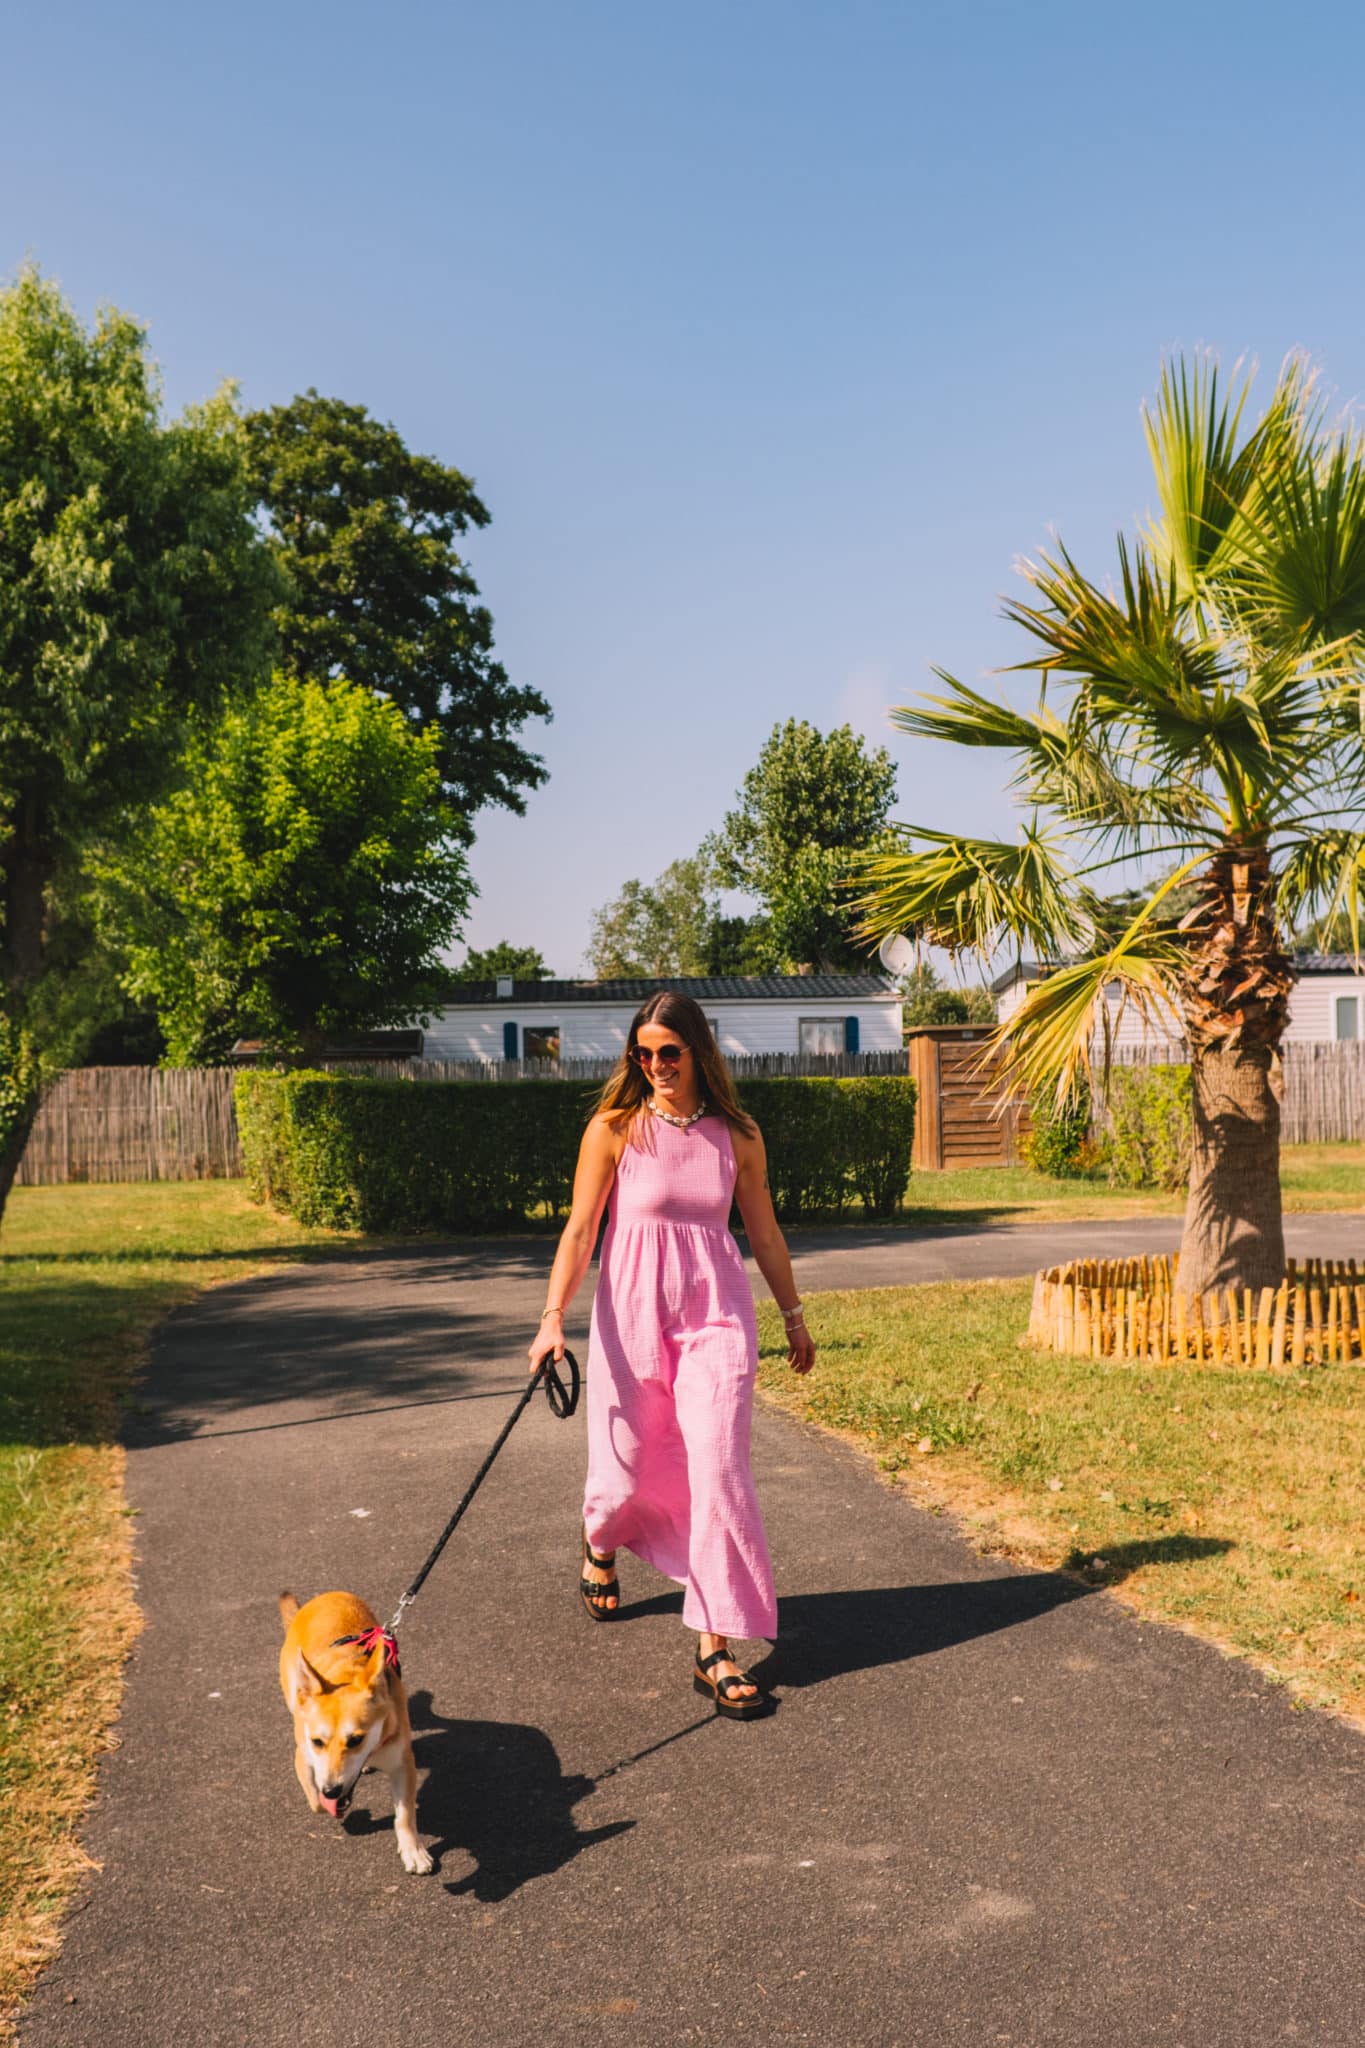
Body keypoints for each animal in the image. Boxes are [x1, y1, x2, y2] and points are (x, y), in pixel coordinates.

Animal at [278, 1590, 433, 1873]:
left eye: (356, 1740)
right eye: (317, 1741)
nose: (331, 1791)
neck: (346, 1673)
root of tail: (326, 1596)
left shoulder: (402, 1762)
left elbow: (405, 1814)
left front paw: (413, 1851)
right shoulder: (302, 1756)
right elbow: (314, 1801)